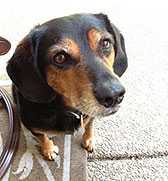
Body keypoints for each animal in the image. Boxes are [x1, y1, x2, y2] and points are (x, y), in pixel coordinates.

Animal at [6, 13, 127, 160]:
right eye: (60, 57)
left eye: (105, 43)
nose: (114, 95)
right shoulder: (33, 127)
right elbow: (42, 137)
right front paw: (49, 150)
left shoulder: (90, 116)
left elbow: (90, 125)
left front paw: (89, 140)